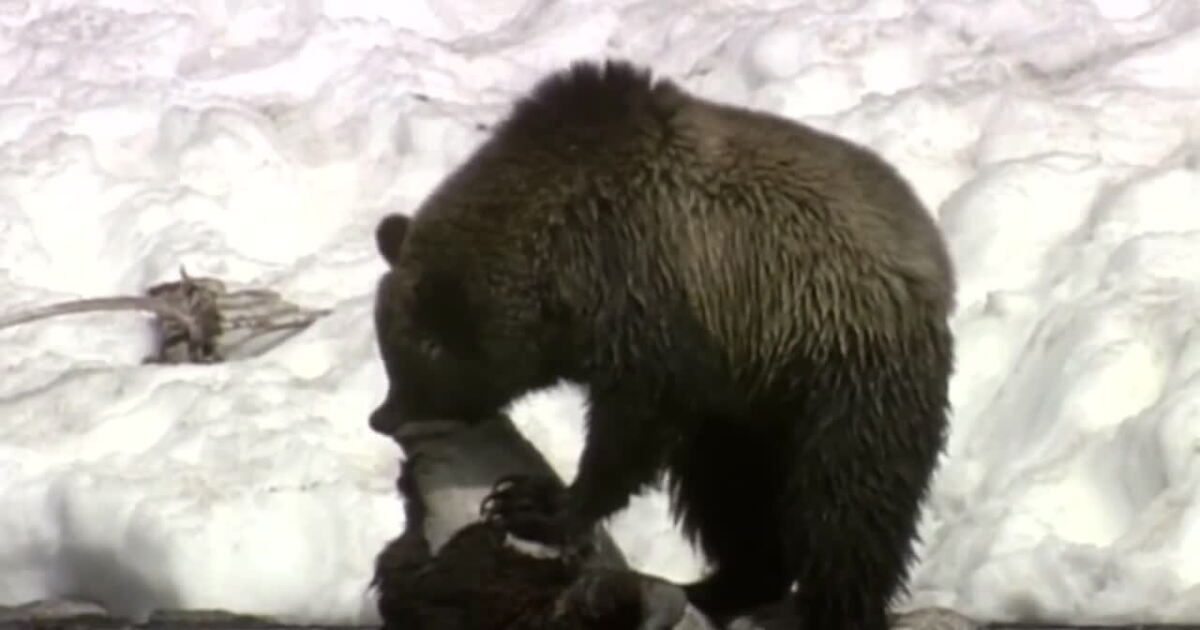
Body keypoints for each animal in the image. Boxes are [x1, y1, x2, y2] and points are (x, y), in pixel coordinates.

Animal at [369, 58, 956, 630]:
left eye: (403, 361)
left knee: (846, 507)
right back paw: (719, 585)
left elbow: (630, 430)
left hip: (844, 371)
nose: (382, 416)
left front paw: (534, 503)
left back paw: (831, 606)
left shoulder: (652, 304)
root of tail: (932, 251)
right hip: (750, 408)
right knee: (728, 493)